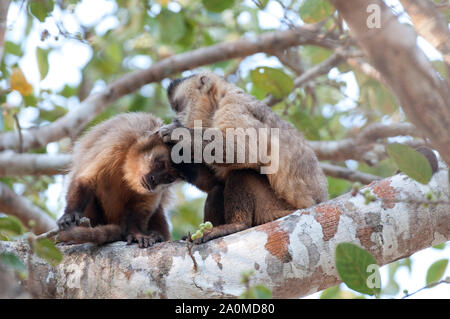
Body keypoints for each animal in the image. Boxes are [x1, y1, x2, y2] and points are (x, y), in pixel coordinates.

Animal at [57, 114, 180, 249]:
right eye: (160, 164)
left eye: (168, 178)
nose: (155, 180)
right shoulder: (117, 143)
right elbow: (86, 180)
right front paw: (70, 214)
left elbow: (142, 207)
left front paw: (136, 234)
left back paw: (156, 235)